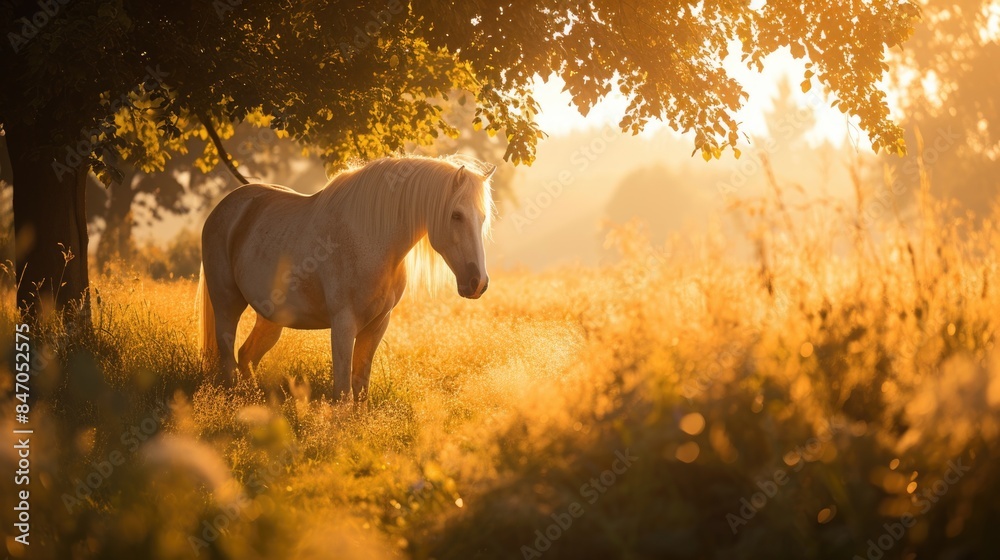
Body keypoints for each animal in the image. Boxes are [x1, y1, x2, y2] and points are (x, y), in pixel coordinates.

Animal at [196, 155, 496, 403]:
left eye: (482, 218)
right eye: (456, 215)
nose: (478, 283)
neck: (372, 239)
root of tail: (225, 208)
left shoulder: (377, 325)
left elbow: (360, 388)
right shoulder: (343, 324)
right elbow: (343, 393)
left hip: (271, 318)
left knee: (246, 356)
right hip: (227, 305)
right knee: (228, 357)